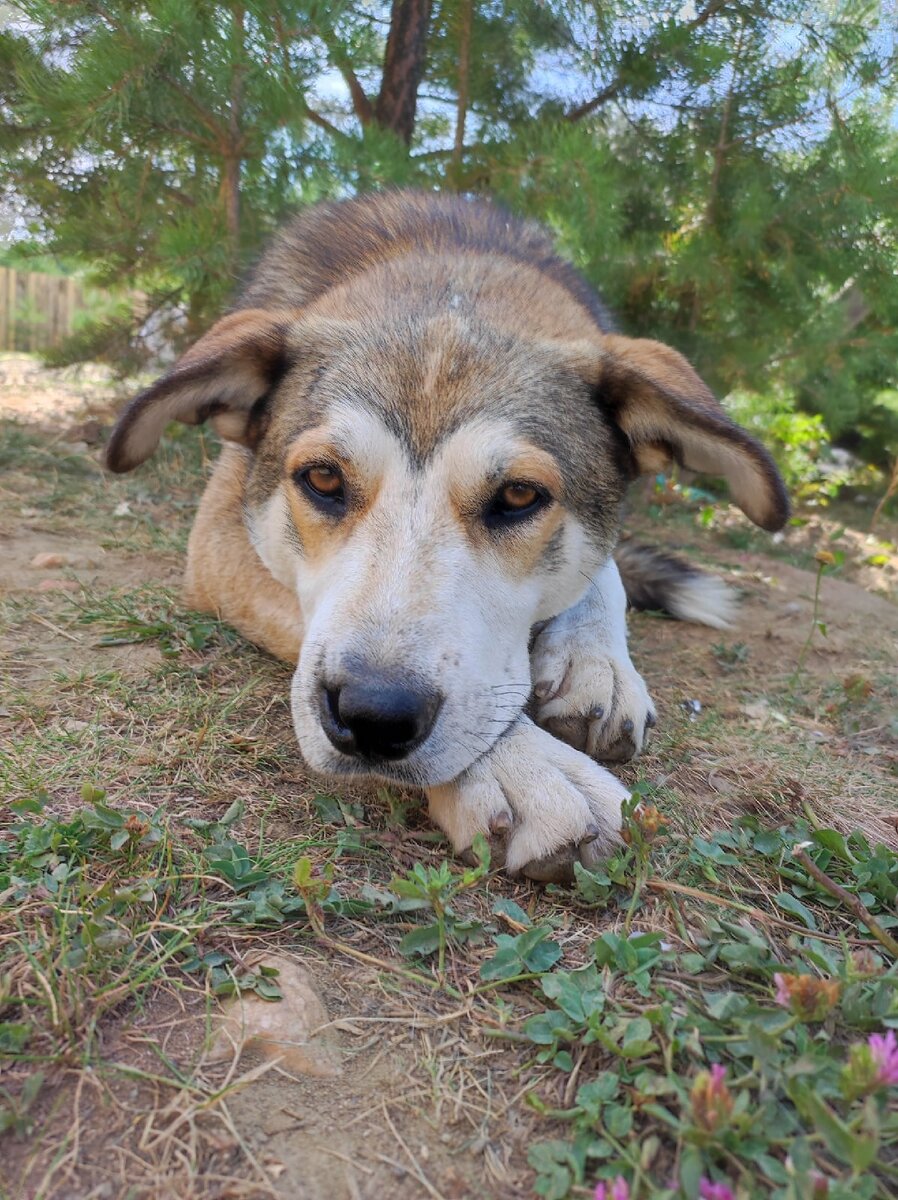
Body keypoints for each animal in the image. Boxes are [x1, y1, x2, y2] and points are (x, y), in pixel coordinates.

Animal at [106, 187, 787, 883]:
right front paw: (528, 767)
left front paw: (594, 664)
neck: (452, 271)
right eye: (322, 477)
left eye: (519, 496)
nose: (373, 718)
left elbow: (606, 571)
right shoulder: (217, 538)